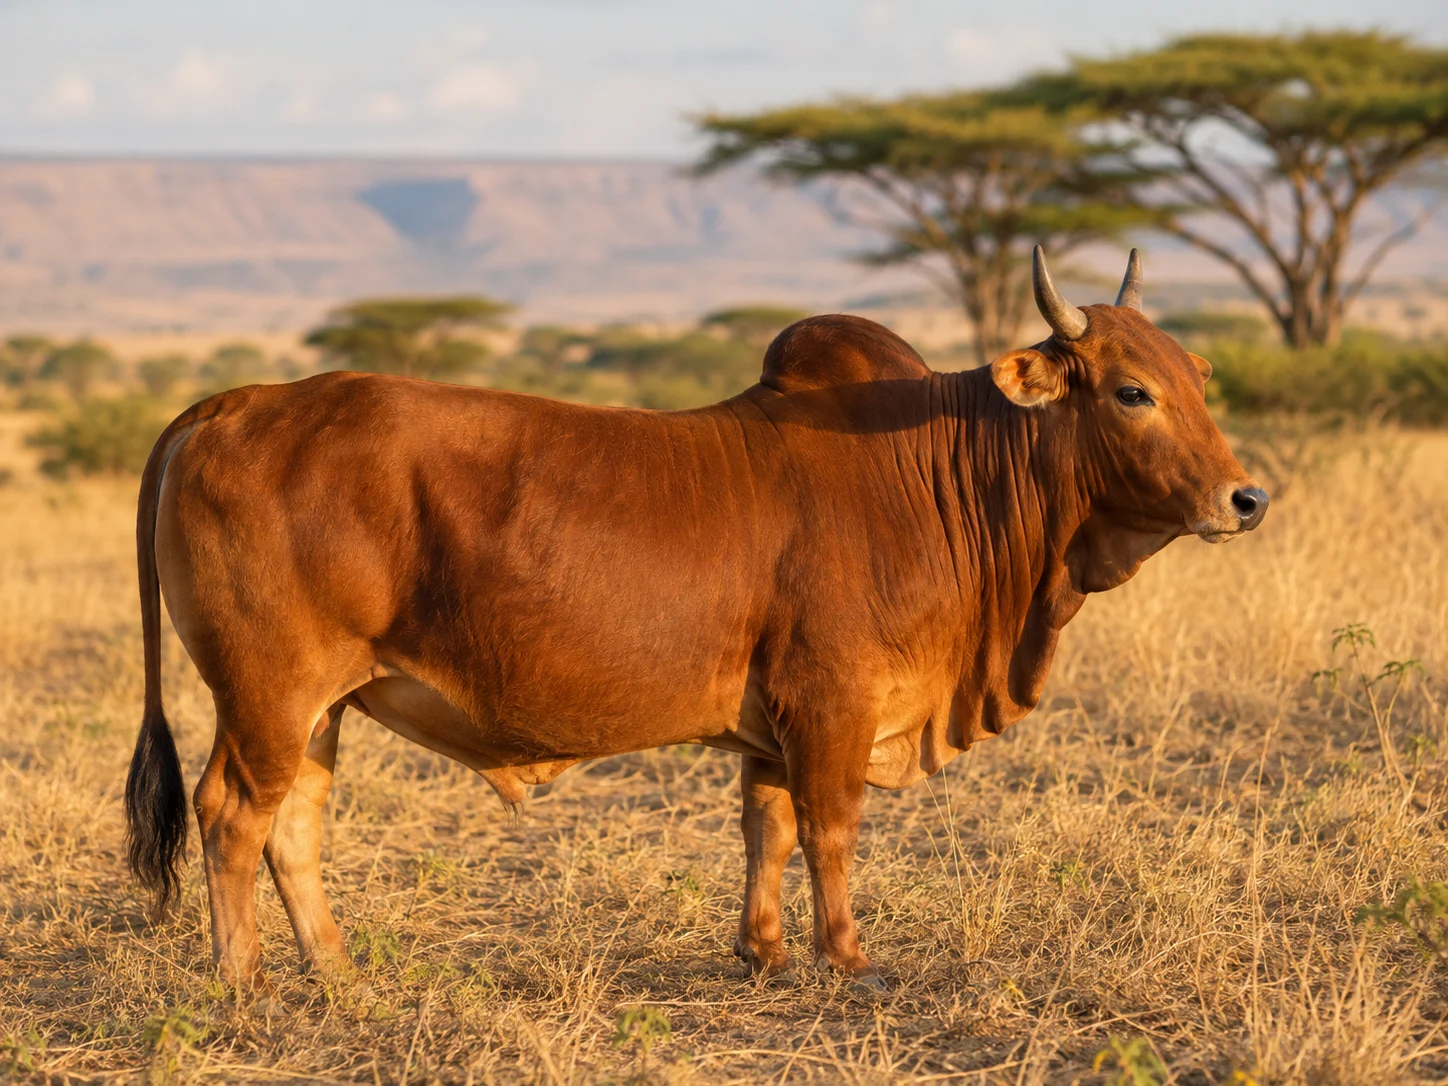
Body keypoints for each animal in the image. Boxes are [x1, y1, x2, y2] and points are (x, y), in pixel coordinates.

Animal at [125, 248, 1267, 996]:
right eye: (1131, 392)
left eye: (1198, 378)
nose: (1246, 499)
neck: (941, 468)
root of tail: (231, 402)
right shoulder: (833, 703)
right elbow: (830, 828)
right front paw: (847, 959)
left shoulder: (772, 723)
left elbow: (765, 826)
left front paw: (762, 953)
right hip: (270, 694)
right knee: (232, 816)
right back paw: (245, 985)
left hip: (323, 706)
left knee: (295, 826)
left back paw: (338, 972)